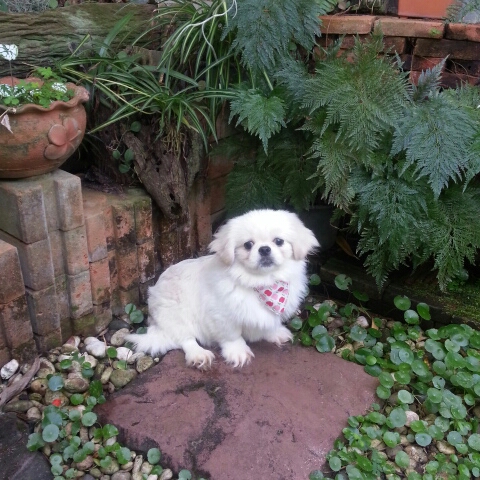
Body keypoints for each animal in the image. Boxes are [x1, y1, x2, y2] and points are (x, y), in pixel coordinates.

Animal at [125, 209, 319, 369]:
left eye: (278, 241)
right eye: (248, 245)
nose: (264, 249)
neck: (261, 284)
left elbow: (269, 325)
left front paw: (275, 333)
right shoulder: (223, 316)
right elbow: (232, 336)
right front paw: (238, 353)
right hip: (174, 315)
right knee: (186, 339)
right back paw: (199, 354)